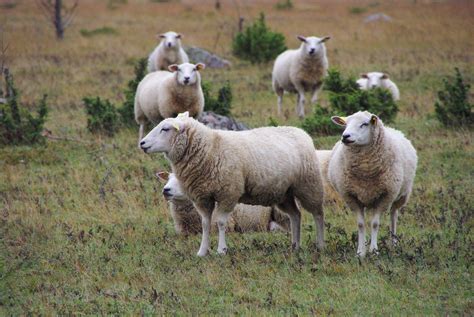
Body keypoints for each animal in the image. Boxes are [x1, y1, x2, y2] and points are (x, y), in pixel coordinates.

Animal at [328, 110, 416, 256]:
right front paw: (360, 252)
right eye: (345, 124)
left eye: (364, 124)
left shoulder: (385, 196)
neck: (366, 171)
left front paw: (374, 250)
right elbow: (361, 224)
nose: (345, 136)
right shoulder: (351, 197)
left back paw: (394, 243)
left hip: (401, 196)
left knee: (394, 215)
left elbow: (375, 223)